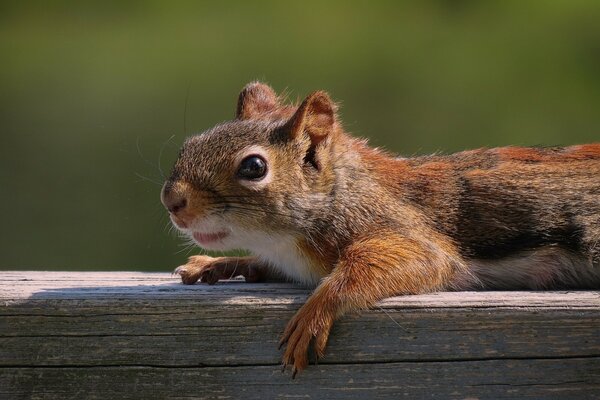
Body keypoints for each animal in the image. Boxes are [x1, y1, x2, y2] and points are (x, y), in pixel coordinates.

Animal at [161, 83, 600, 376]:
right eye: (189, 144)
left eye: (253, 167)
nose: (172, 200)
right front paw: (213, 265)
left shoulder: (401, 227)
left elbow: (406, 260)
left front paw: (315, 312)